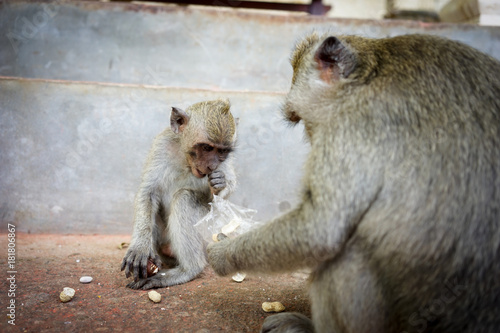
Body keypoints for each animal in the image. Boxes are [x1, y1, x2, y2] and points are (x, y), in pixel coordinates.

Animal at [122, 98, 237, 288]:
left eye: (222, 151)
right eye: (207, 148)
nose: (212, 166)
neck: (186, 160)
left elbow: (222, 199)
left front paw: (221, 185)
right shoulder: (162, 145)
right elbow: (148, 192)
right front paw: (140, 247)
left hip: (208, 235)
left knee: (185, 197)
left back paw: (189, 270)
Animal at [208, 34, 500, 332]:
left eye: (300, 118)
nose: (311, 139)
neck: (368, 74)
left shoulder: (351, 126)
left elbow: (319, 230)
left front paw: (222, 253)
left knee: (345, 255)